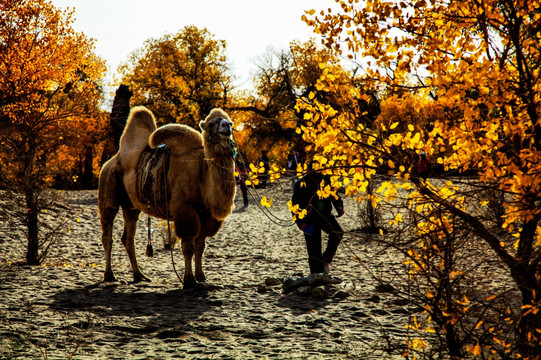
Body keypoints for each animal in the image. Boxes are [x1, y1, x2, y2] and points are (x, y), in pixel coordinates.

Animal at [98, 105, 235, 288]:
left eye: (229, 121)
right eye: (212, 123)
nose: (227, 126)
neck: (202, 172)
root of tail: (110, 161)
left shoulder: (206, 214)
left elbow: (200, 246)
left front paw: (201, 277)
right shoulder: (185, 208)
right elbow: (188, 247)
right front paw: (189, 280)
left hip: (131, 205)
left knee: (128, 237)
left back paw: (139, 275)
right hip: (108, 187)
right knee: (107, 233)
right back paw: (109, 275)